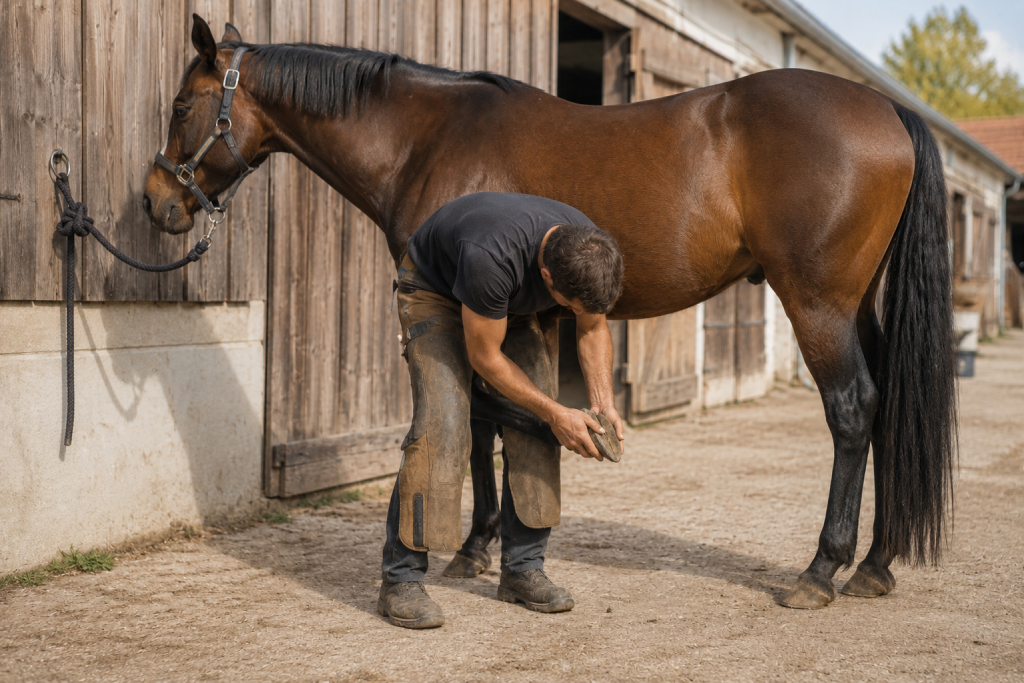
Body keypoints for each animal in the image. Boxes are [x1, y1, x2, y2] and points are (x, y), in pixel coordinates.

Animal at [144, 15, 957, 610]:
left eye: (181, 106)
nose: (156, 204)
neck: (424, 138)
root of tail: (888, 108)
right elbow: (500, 420)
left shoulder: (459, 305)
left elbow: (477, 425)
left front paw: (473, 549)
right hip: (859, 307)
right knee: (887, 410)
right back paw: (875, 565)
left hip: (818, 304)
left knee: (852, 410)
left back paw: (820, 572)